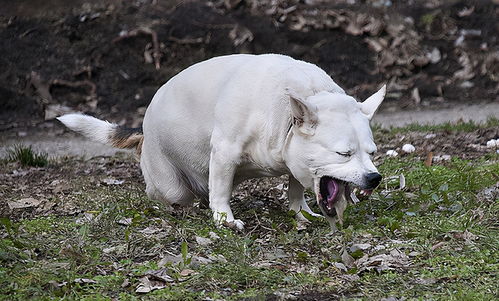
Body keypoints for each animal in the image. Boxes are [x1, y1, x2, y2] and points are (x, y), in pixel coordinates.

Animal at [59, 54, 386, 229]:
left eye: (372, 153)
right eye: (343, 153)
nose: (374, 178)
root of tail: (144, 132)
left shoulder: (295, 158)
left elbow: (295, 186)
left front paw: (299, 210)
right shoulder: (225, 154)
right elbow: (220, 191)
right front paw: (224, 220)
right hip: (170, 184)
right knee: (170, 194)